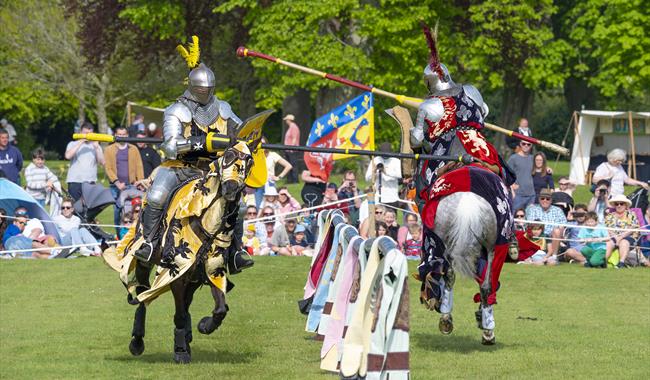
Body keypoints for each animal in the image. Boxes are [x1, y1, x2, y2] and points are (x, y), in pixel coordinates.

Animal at [102, 139, 254, 362]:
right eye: (227, 156)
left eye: (249, 161)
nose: (231, 189)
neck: (206, 221)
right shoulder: (176, 273)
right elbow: (179, 314)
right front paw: (181, 350)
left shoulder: (212, 271)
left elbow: (220, 309)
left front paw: (204, 326)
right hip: (146, 263)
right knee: (142, 294)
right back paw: (137, 341)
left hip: (194, 277)